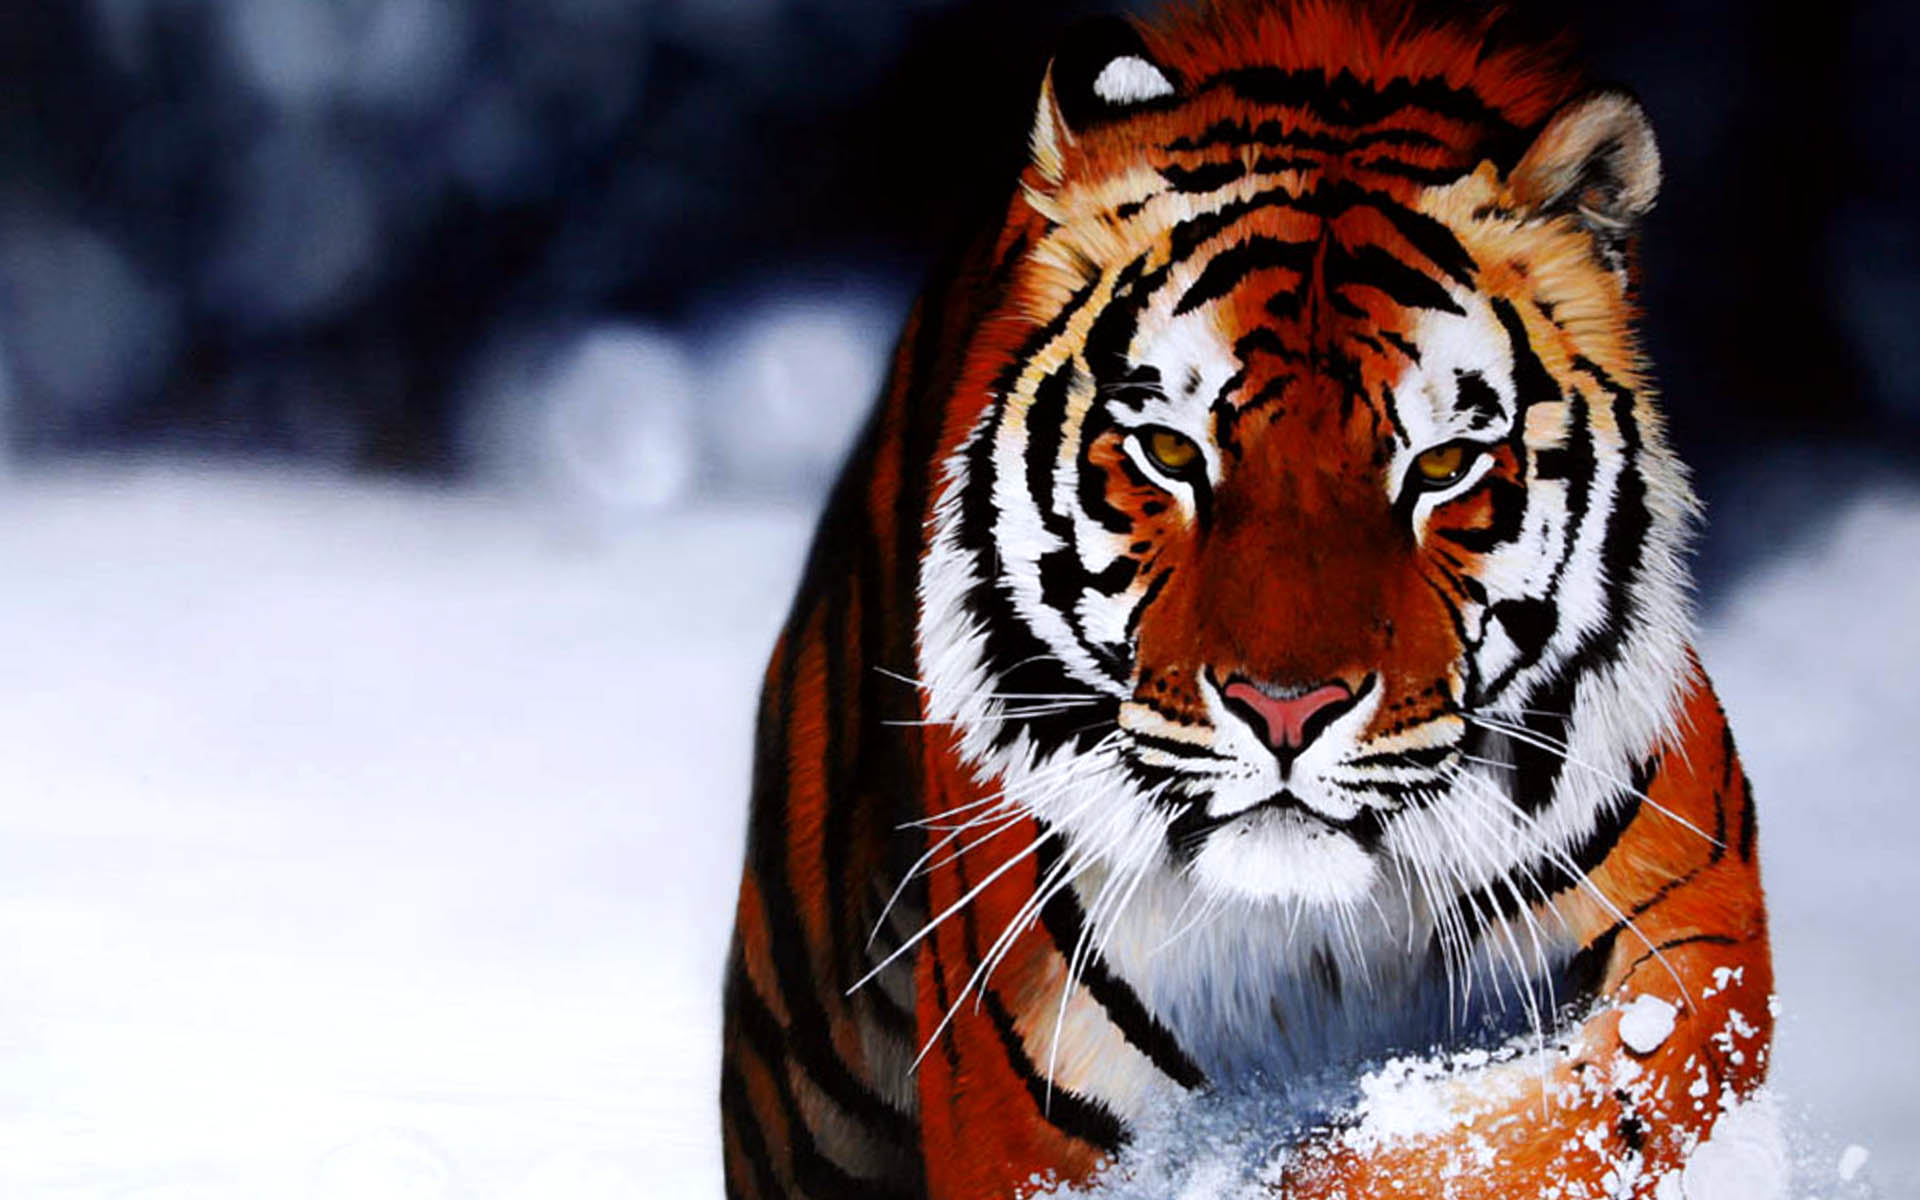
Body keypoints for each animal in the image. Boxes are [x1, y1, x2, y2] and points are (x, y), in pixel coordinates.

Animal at [719, 1, 1773, 1196]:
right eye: (1173, 453)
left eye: (1442, 466)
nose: (1284, 712)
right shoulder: (1024, 1116)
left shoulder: (1702, 944)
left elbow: (1532, 1121)